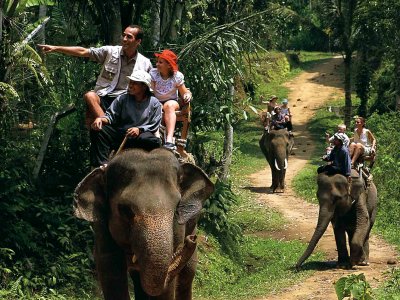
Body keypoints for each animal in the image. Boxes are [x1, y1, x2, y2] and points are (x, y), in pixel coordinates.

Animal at [73, 148, 214, 300]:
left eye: (177, 207)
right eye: (126, 210)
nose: (192, 239)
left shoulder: (177, 230)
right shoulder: (101, 226)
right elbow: (111, 267)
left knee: (187, 274)